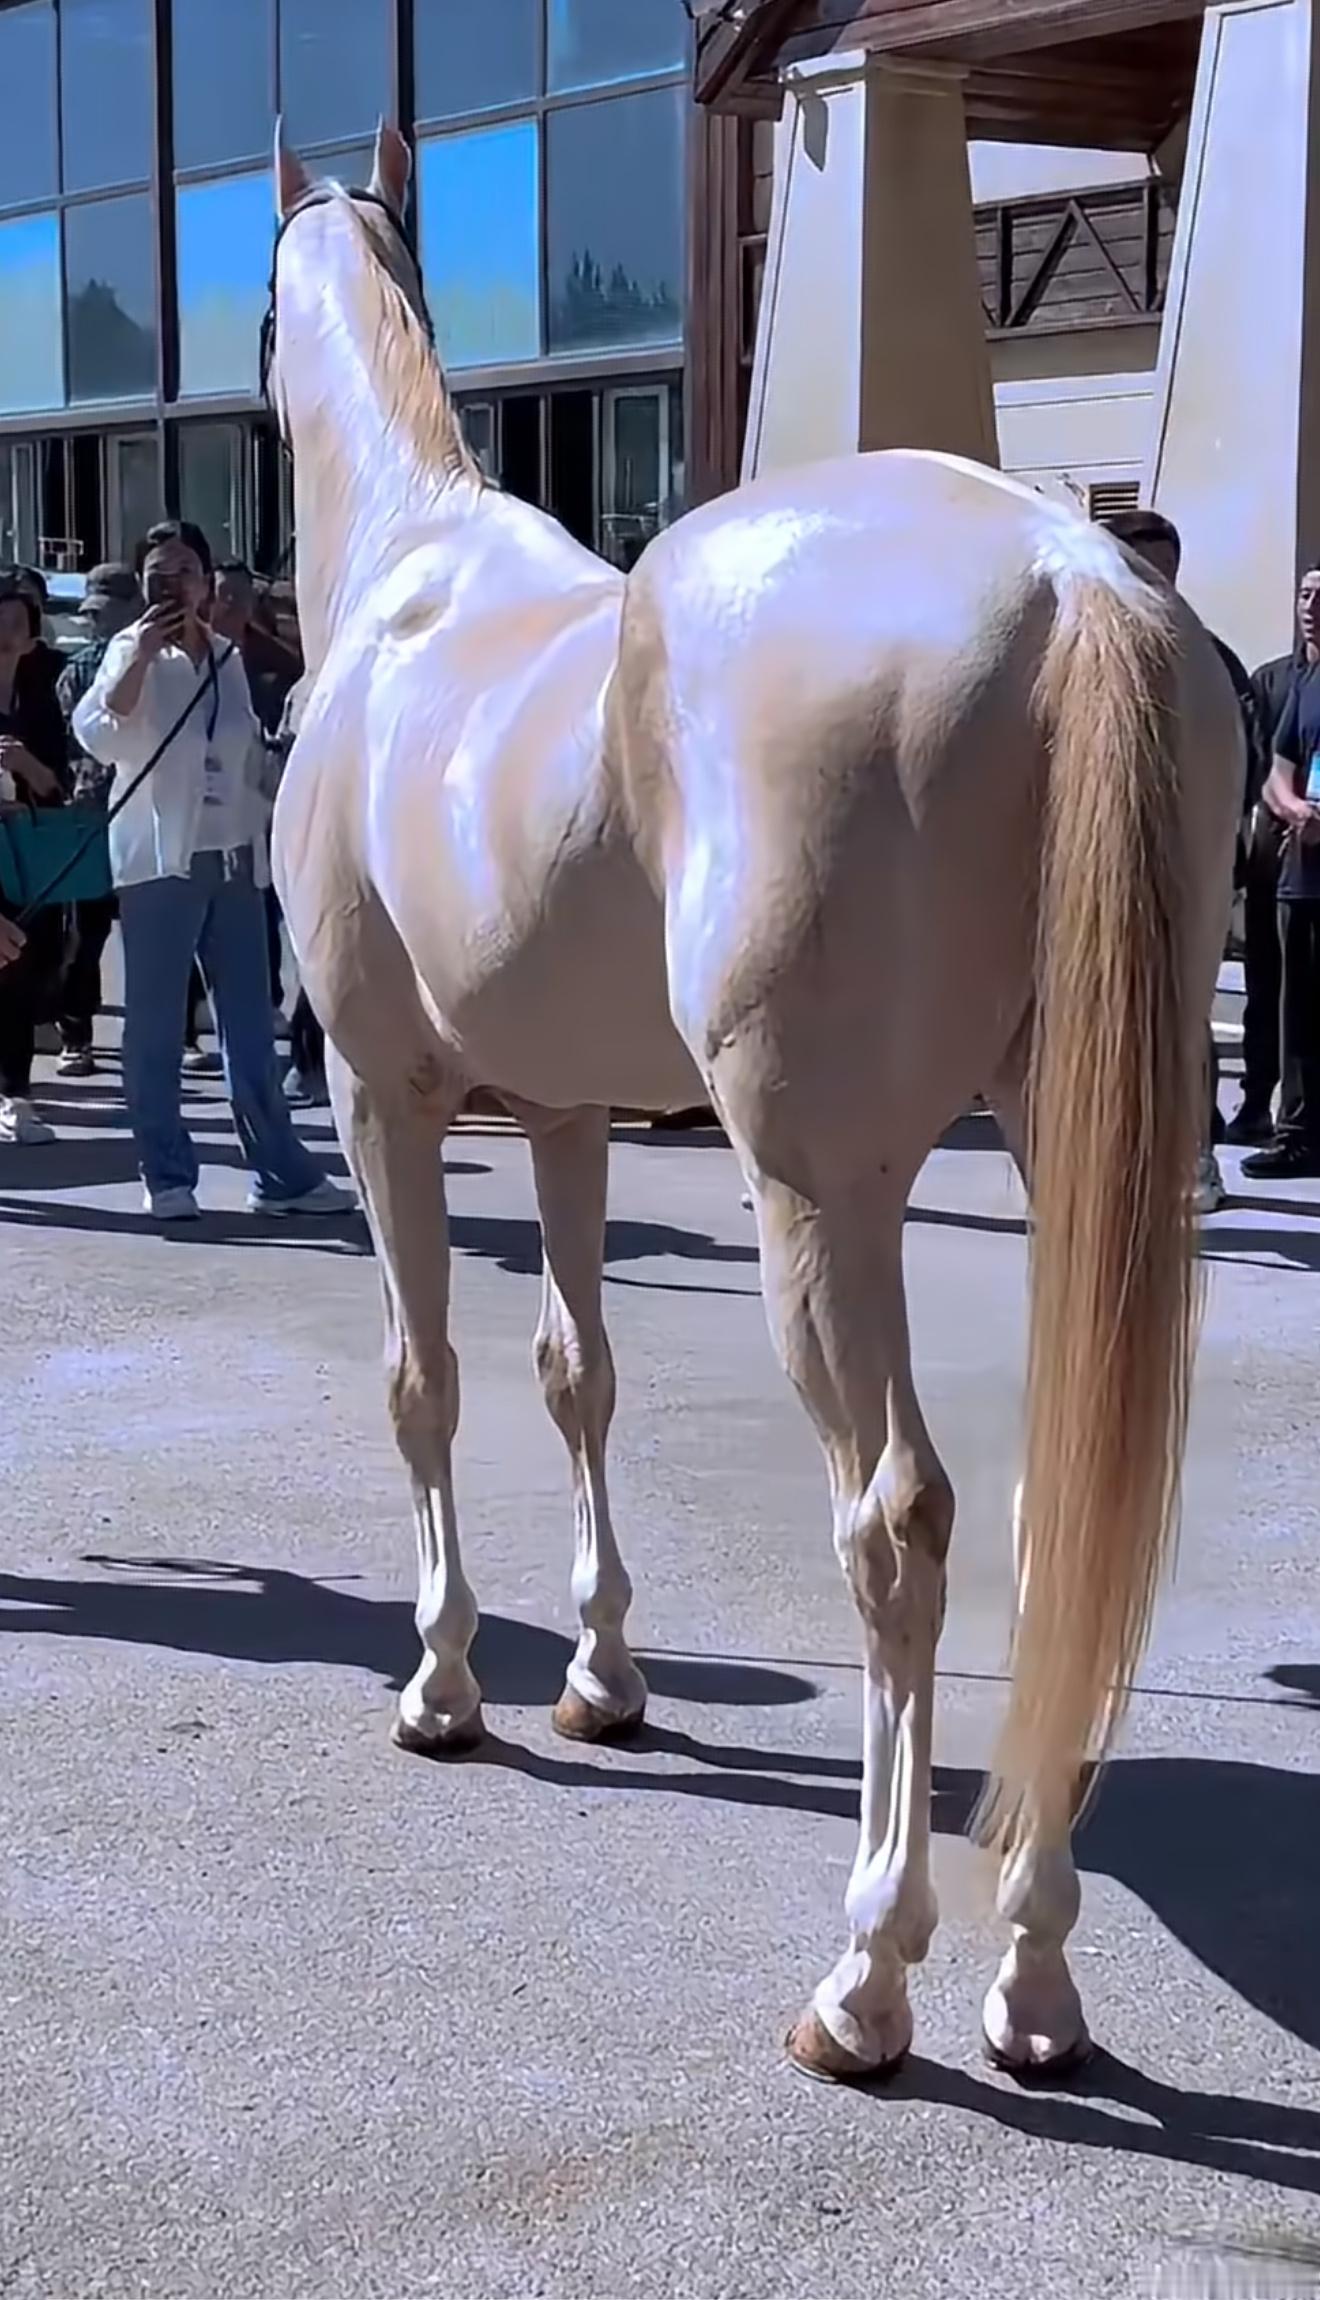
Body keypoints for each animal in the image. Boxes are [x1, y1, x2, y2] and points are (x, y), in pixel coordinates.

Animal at [264, 124, 1243, 2083]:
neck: (413, 582)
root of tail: (1073, 578)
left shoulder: (380, 1095)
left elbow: (426, 1380)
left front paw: (445, 1683)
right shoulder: (564, 1115)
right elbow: (576, 1371)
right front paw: (602, 1680)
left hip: (820, 1198)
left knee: (899, 1524)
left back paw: (870, 1975)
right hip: (1066, 1166)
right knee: (1054, 1521)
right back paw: (1032, 1978)